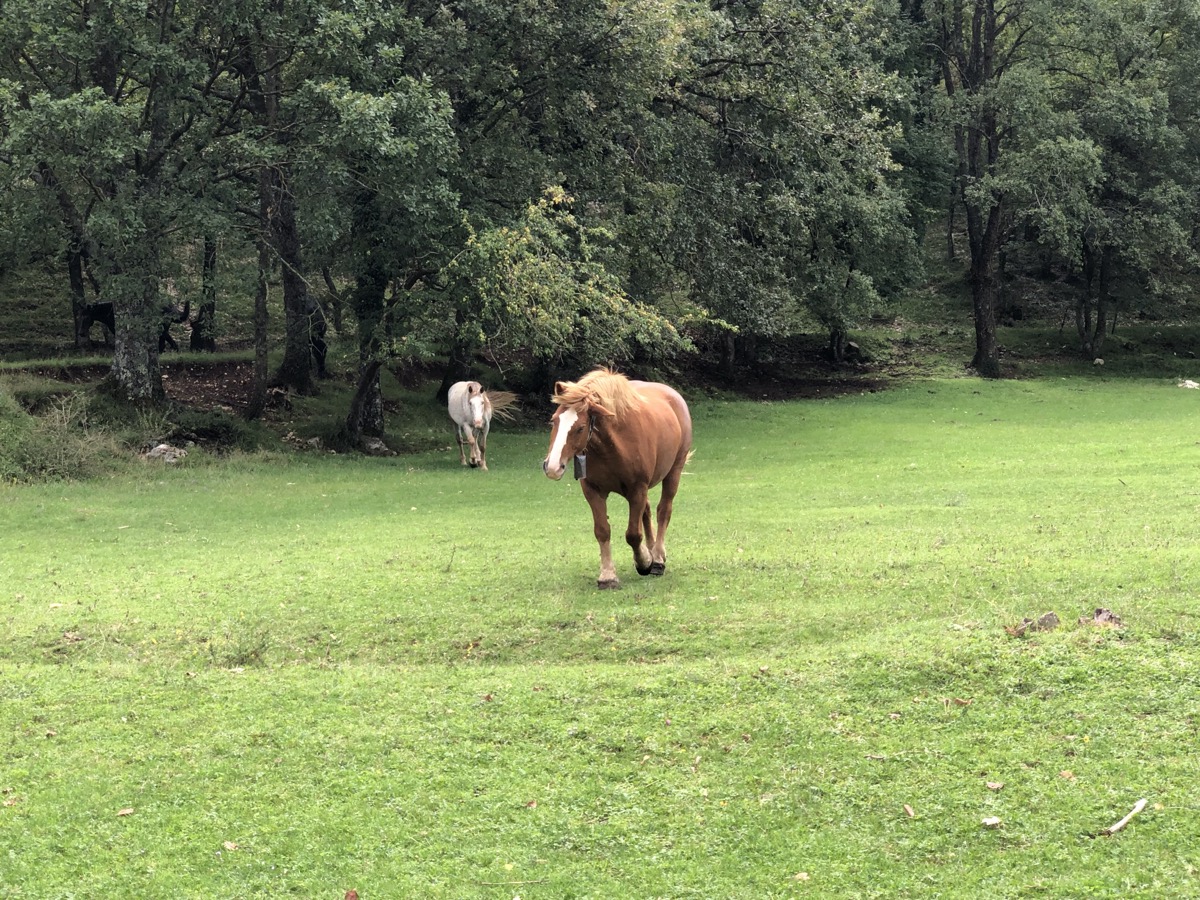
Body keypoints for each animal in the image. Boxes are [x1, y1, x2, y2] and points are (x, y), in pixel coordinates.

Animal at [542, 368, 692, 589]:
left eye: (580, 427)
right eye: (554, 420)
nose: (552, 467)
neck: (613, 444)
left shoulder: (637, 488)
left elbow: (633, 534)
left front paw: (644, 561)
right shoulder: (593, 490)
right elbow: (602, 531)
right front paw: (607, 575)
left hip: (673, 472)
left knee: (663, 511)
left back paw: (657, 558)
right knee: (647, 512)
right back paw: (652, 549)